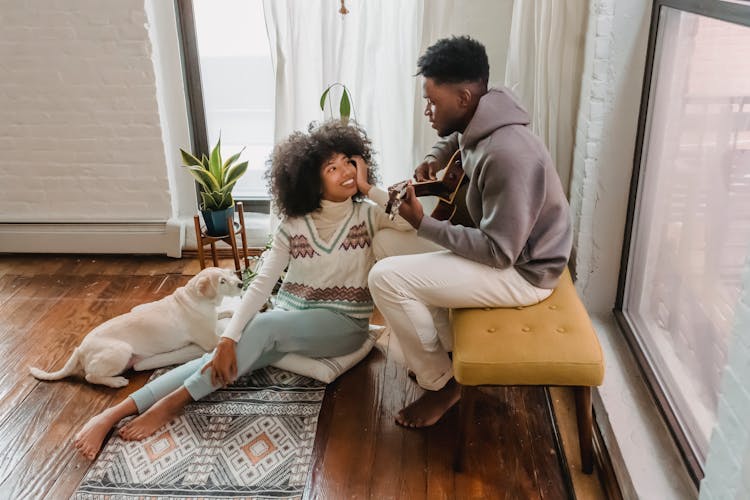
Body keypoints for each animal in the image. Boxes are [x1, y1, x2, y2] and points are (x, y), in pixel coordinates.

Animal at [27, 268, 241, 388]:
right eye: (221, 281)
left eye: (229, 273)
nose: (240, 284)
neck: (195, 298)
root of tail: (80, 349)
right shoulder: (210, 339)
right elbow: (223, 334)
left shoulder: (212, 318)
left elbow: (222, 314)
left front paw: (231, 312)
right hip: (120, 350)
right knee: (90, 376)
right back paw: (116, 382)